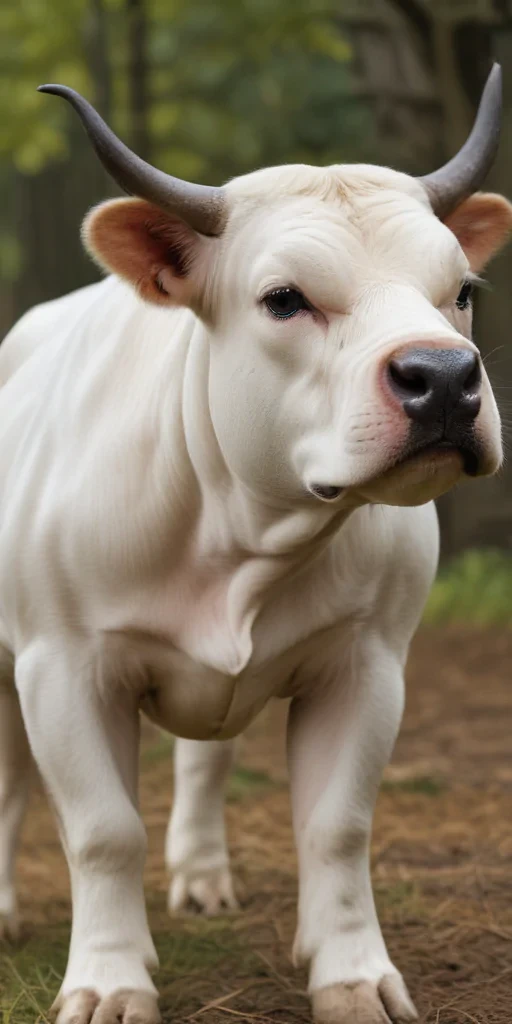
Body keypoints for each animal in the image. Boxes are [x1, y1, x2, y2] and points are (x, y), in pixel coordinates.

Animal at [0, 63, 510, 1024]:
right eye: (284, 299)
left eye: (461, 290)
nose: (445, 378)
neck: (240, 525)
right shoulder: (63, 667)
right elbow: (103, 832)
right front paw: (110, 982)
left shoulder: (368, 665)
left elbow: (337, 826)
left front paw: (352, 975)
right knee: (12, 783)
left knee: (206, 760)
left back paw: (202, 876)